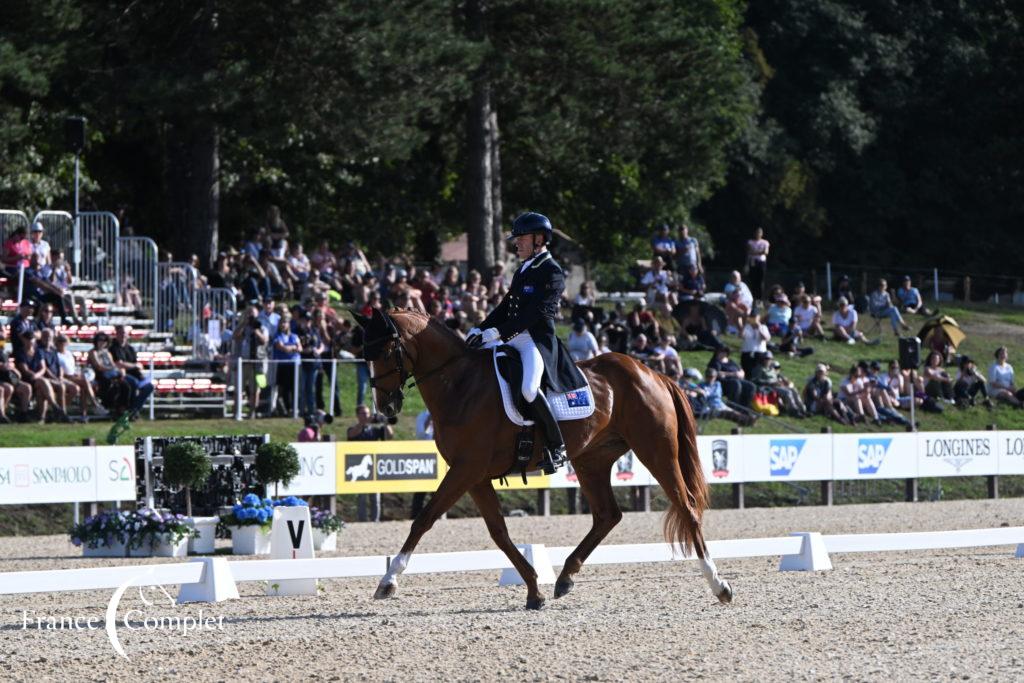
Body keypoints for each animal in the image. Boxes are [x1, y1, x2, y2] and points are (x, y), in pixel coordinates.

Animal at [356, 307, 733, 610]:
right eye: (365, 353)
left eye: (387, 350)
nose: (385, 407)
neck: (461, 384)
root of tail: (653, 373)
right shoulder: (475, 475)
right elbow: (499, 532)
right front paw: (534, 590)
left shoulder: (466, 469)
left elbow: (424, 519)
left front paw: (388, 582)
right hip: (592, 459)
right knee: (607, 515)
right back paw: (565, 577)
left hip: (656, 450)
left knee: (686, 507)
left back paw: (719, 585)